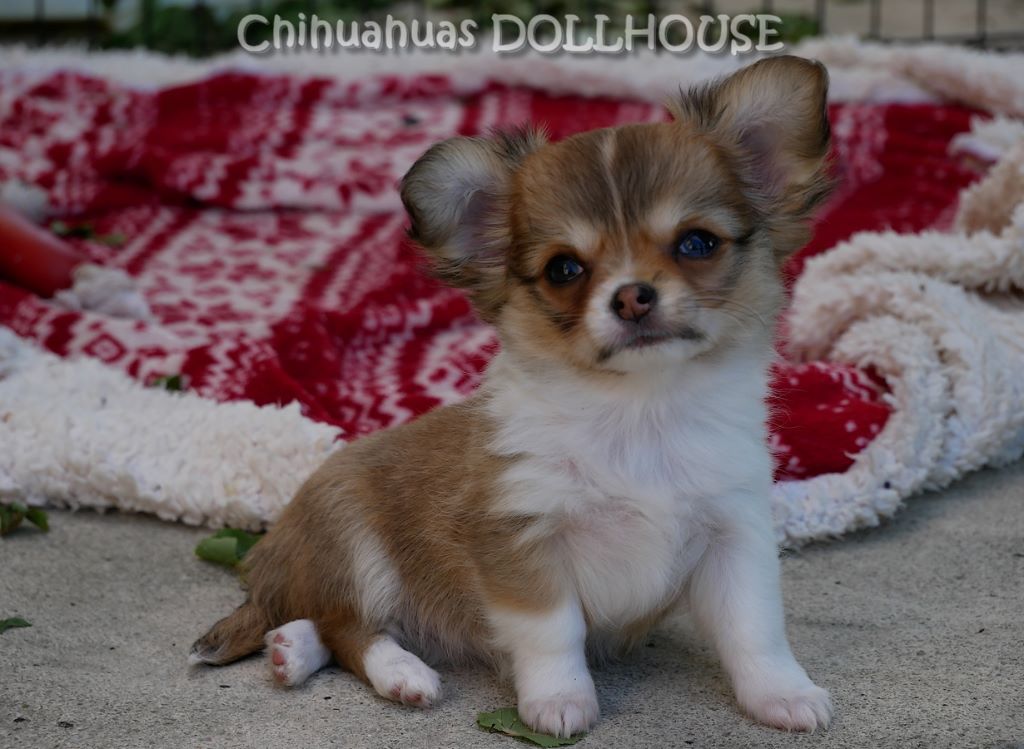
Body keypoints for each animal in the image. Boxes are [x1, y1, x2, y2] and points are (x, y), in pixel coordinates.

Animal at [191, 55, 834, 737]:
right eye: (563, 269)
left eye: (697, 243)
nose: (632, 296)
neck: (640, 412)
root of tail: (273, 557)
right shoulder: (522, 537)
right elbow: (554, 631)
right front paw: (559, 700)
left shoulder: (734, 532)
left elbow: (754, 629)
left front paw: (782, 692)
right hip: (353, 538)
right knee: (349, 626)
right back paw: (401, 674)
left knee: (324, 622)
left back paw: (291, 649)